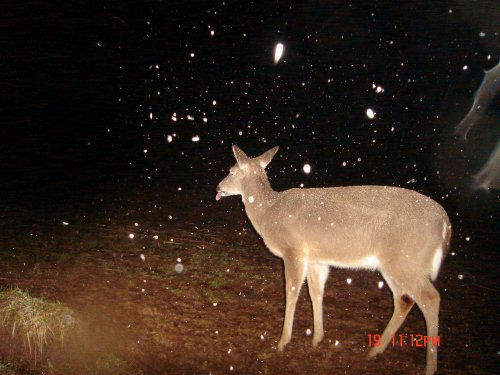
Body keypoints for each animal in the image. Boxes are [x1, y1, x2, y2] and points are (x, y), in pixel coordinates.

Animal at [217, 145, 452, 374]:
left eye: (231, 171)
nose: (219, 188)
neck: (268, 212)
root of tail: (445, 223)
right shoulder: (316, 258)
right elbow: (316, 293)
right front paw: (317, 339)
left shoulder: (294, 250)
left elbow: (291, 292)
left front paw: (283, 342)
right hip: (395, 265)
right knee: (404, 300)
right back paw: (374, 351)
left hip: (406, 260)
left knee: (430, 298)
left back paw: (429, 366)